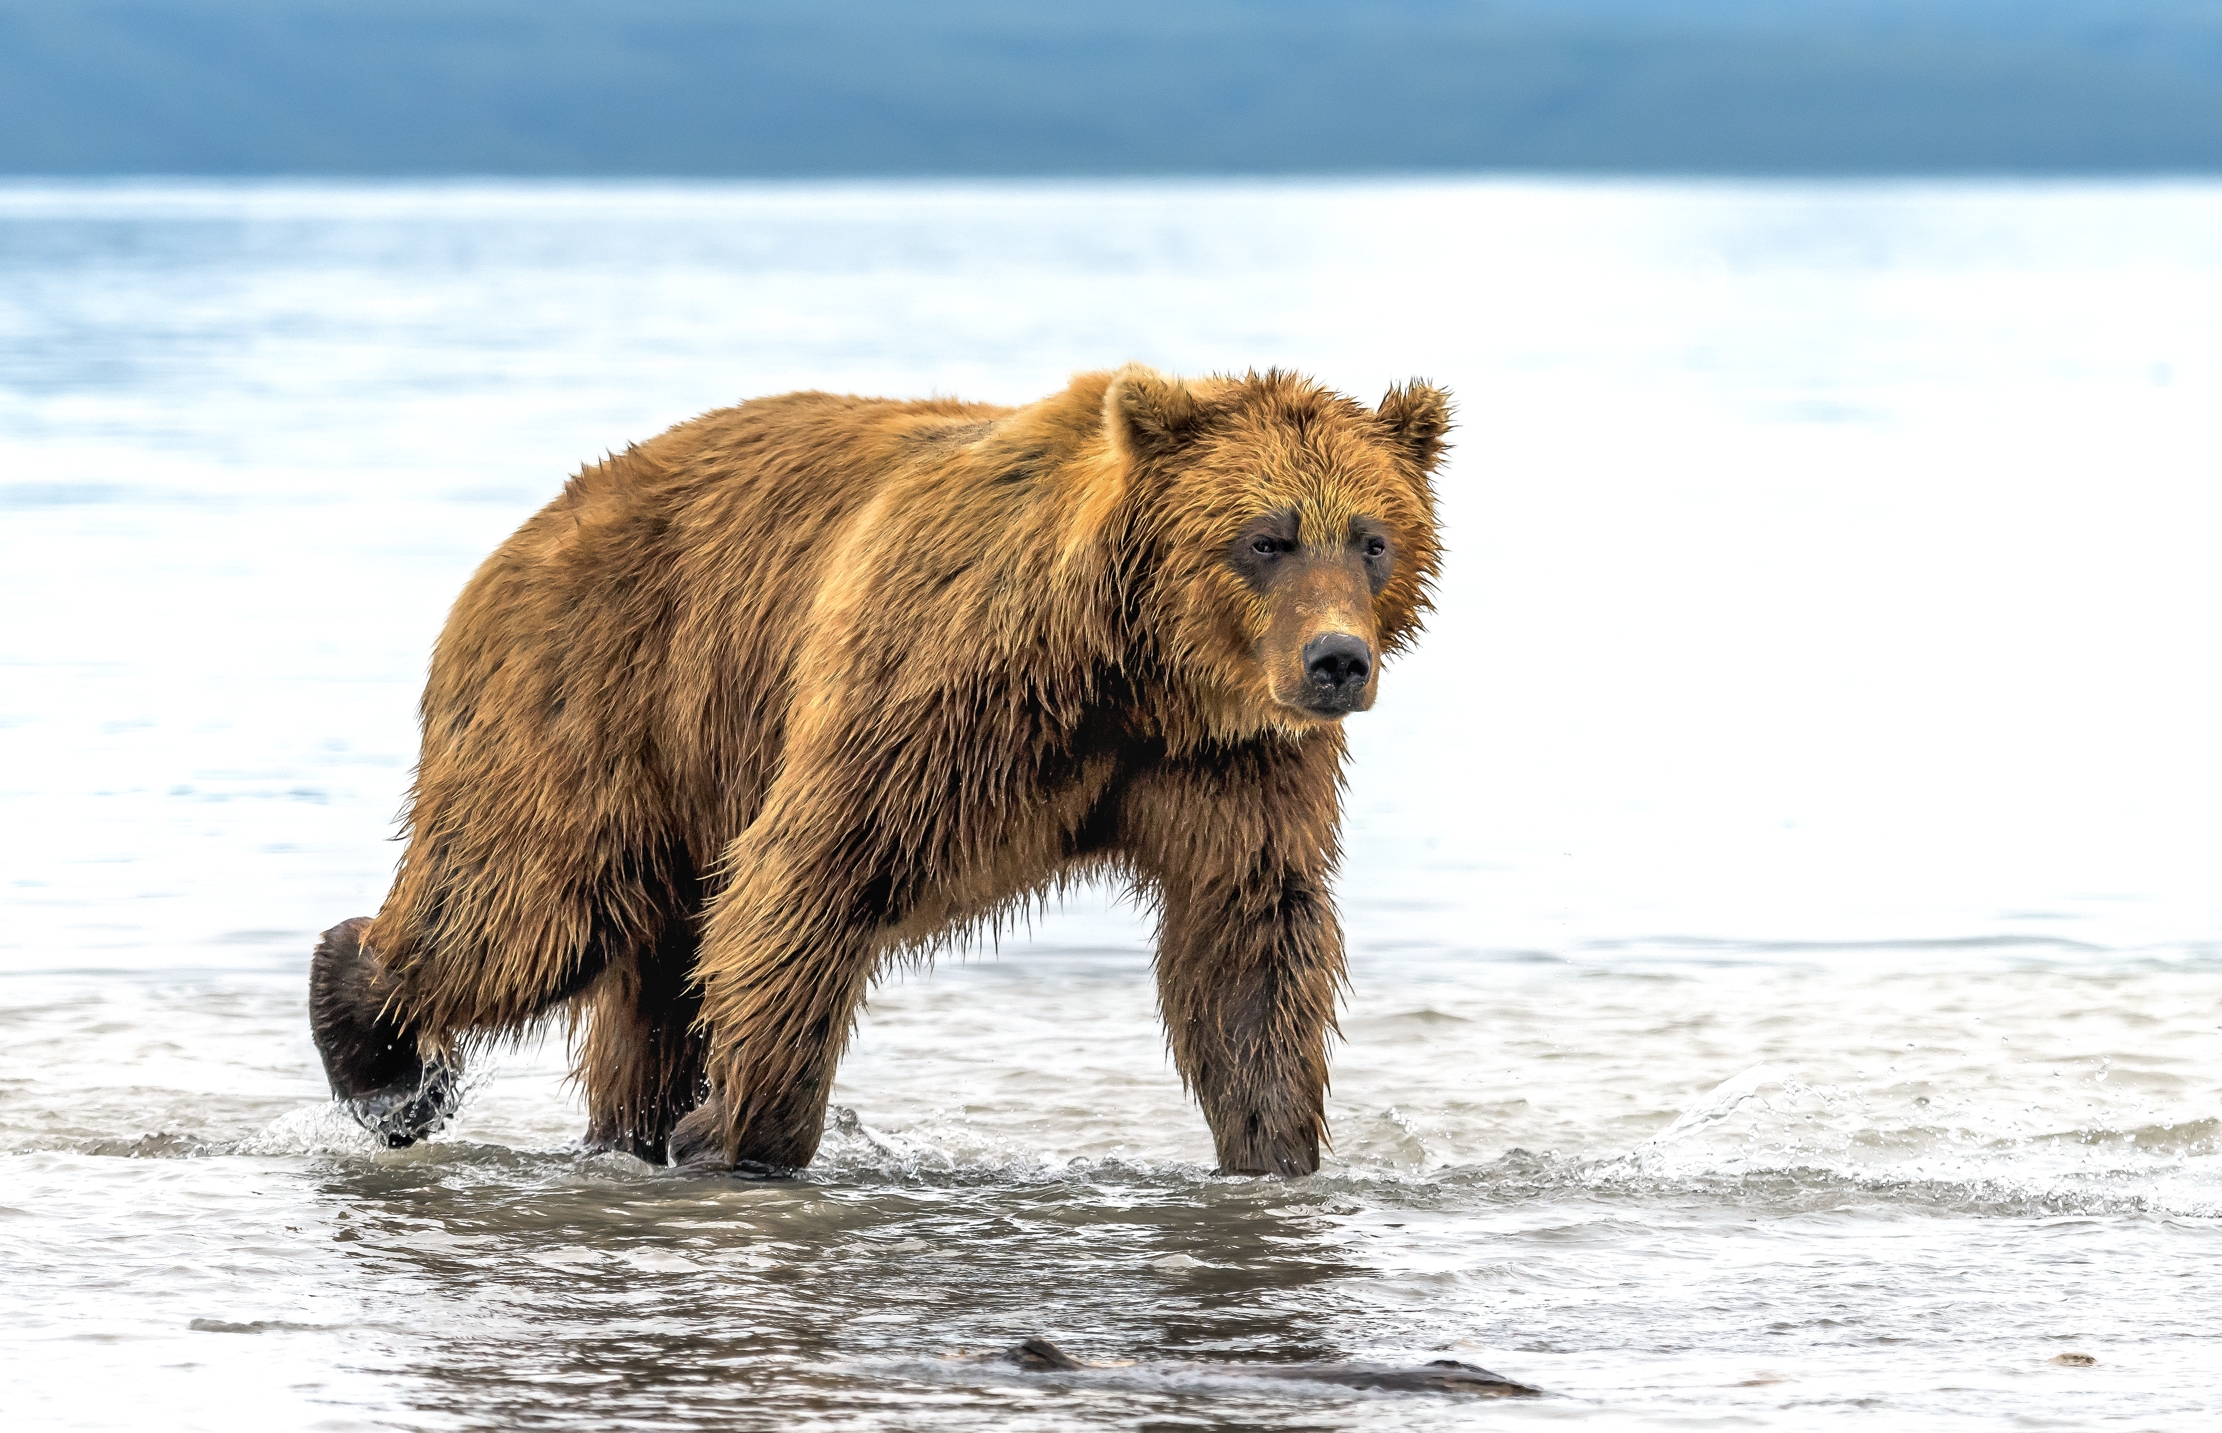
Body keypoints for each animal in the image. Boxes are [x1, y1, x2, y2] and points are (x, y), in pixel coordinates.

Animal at [308, 364, 1450, 1176]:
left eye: (1372, 537)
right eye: (1266, 537)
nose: (1336, 660)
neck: (1131, 664)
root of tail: (540, 516)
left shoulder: (1231, 761)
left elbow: (1246, 940)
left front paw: (1272, 1144)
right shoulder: (939, 688)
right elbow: (810, 873)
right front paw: (737, 1132)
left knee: (647, 967)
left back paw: (624, 1129)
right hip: (600, 692)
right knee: (528, 909)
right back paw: (378, 1050)